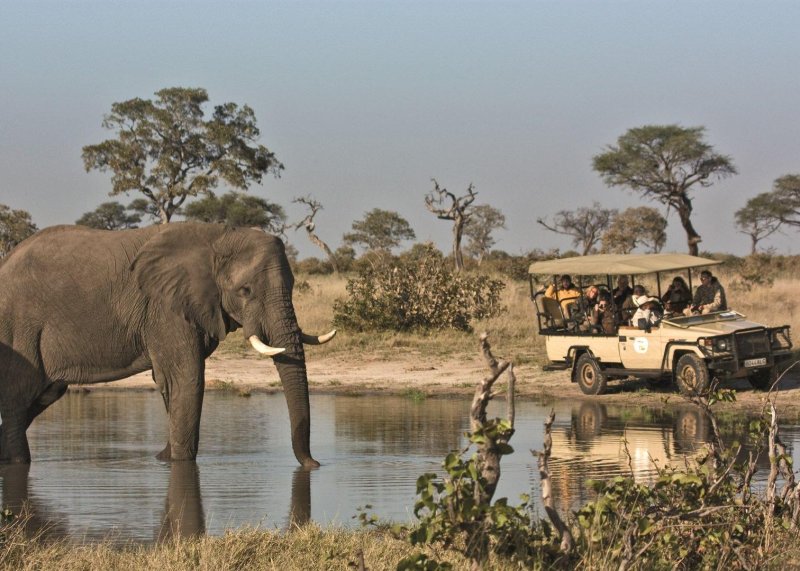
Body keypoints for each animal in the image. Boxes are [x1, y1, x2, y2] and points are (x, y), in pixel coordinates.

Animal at [0, 221, 332, 466]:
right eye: (245, 290)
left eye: (293, 285)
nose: (314, 464)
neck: (219, 235)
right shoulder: (164, 307)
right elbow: (186, 378)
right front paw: (179, 462)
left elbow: (171, 383)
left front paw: (164, 458)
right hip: (16, 329)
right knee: (19, 398)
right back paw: (18, 462)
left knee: (41, 396)